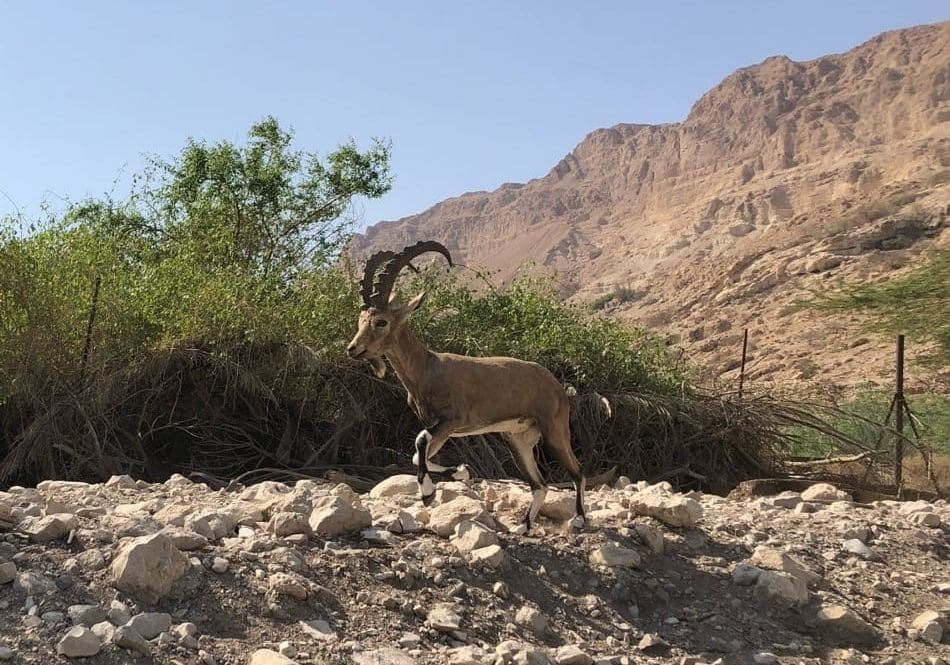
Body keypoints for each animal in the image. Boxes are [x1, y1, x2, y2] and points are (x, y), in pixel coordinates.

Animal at [346, 240, 592, 528]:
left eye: (381, 321)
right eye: (360, 321)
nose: (353, 348)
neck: (426, 368)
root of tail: (557, 386)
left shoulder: (454, 420)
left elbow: (419, 443)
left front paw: (428, 494)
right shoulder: (440, 428)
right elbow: (419, 453)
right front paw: (459, 472)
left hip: (555, 429)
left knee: (578, 471)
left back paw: (578, 519)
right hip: (517, 438)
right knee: (539, 484)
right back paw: (524, 526)